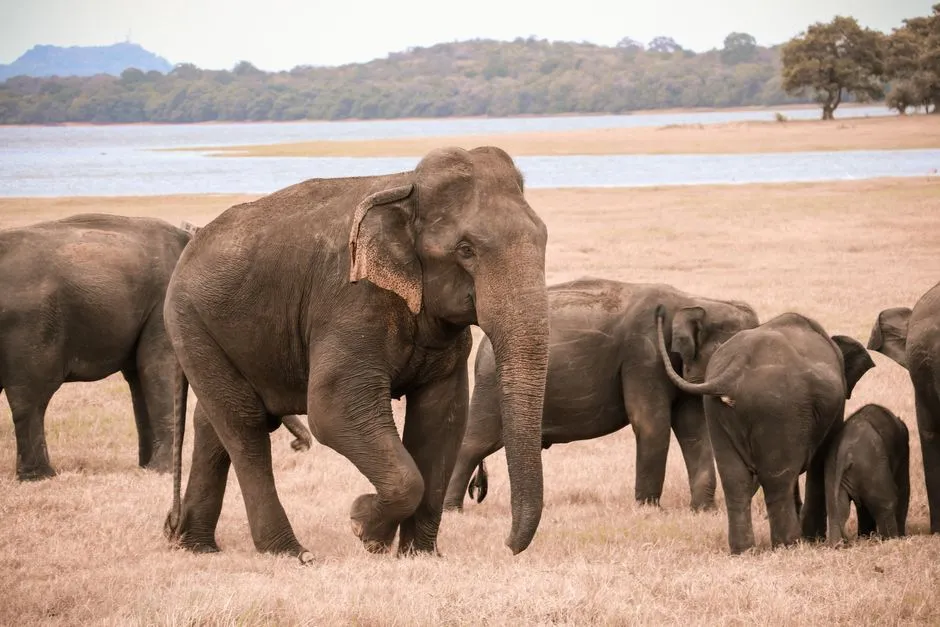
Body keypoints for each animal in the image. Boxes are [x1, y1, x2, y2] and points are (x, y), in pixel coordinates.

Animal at [162, 146, 551, 564]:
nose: (507, 546)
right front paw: (365, 528)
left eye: (543, 239)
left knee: (212, 423)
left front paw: (419, 555)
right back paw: (292, 553)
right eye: (466, 250)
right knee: (243, 424)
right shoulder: (350, 302)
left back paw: (197, 546)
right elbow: (333, 410)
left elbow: (442, 417)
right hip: (189, 321)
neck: (407, 187)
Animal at [443, 278, 759, 512]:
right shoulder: (643, 355)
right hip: (491, 387)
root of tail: (483, 347)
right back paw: (451, 510)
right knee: (474, 443)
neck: (696, 300)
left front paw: (703, 510)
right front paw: (648, 510)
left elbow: (694, 430)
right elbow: (650, 423)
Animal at [656, 308, 875, 553]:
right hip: (778, 408)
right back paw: (788, 545)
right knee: (777, 479)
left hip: (715, 409)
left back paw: (744, 550)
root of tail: (737, 366)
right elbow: (821, 460)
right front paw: (812, 539)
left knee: (734, 479)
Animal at [825, 404, 909, 546]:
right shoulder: (903, 453)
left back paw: (837, 546)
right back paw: (891, 540)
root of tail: (845, 452)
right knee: (888, 502)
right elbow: (903, 490)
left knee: (836, 510)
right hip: (872, 465)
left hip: (832, 468)